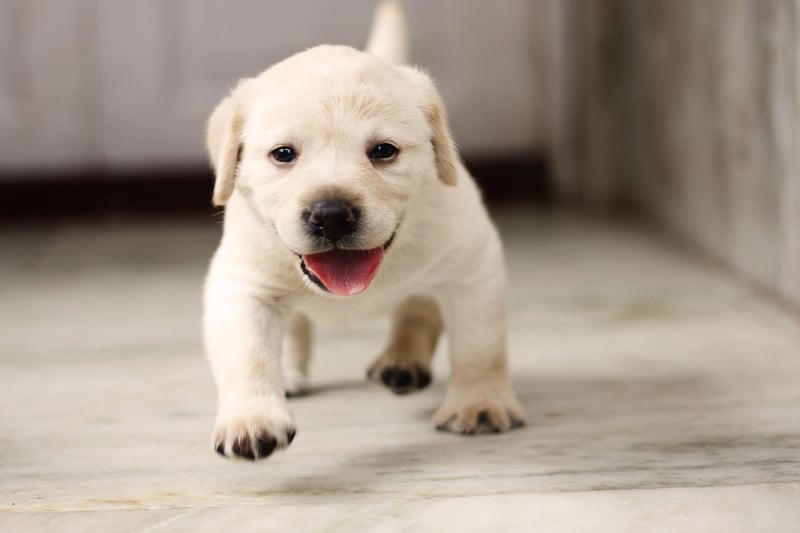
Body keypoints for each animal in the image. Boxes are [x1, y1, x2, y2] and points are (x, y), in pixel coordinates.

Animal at [205, 0, 524, 460]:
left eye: (383, 151)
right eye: (283, 154)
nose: (332, 214)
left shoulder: (473, 269)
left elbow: (479, 347)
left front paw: (480, 404)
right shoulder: (242, 284)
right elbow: (247, 353)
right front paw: (252, 419)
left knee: (418, 310)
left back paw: (402, 362)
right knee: (297, 325)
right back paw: (291, 374)